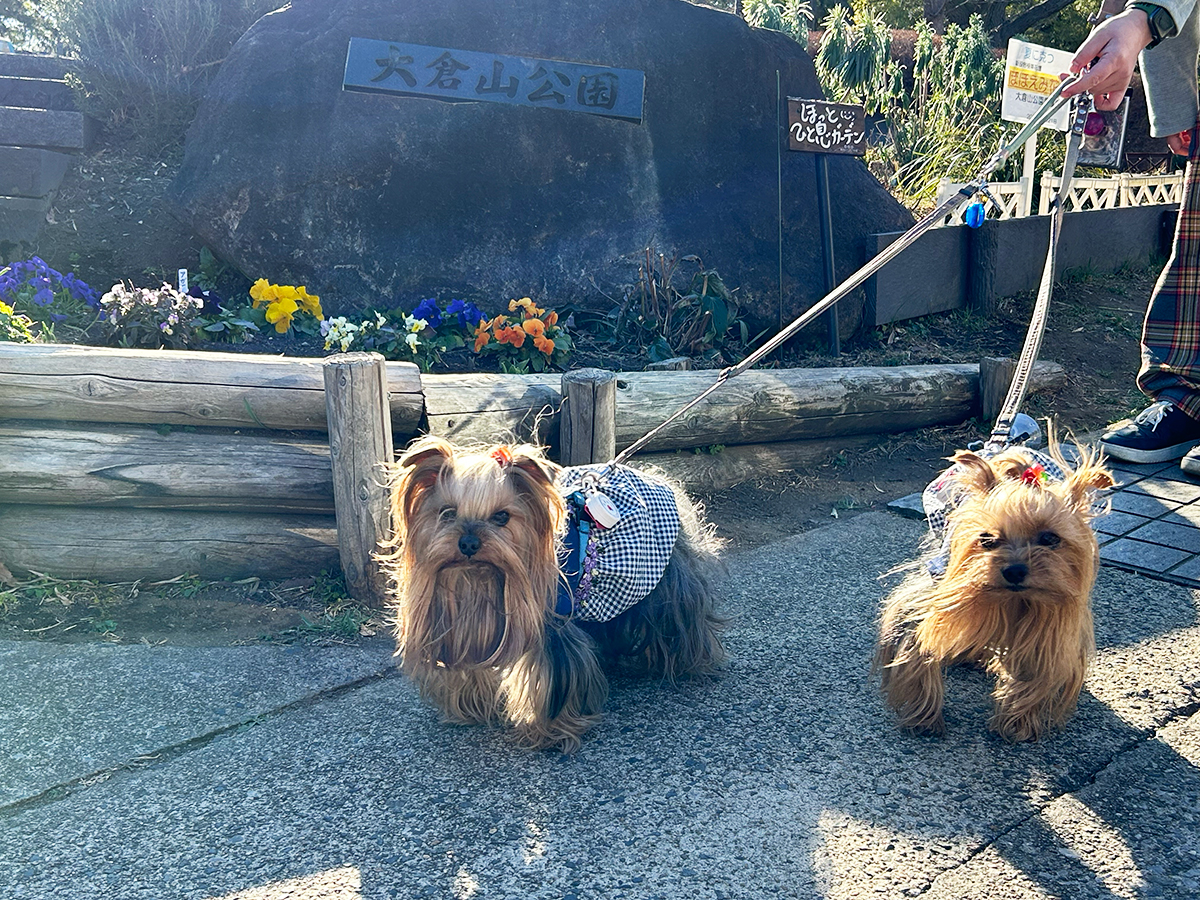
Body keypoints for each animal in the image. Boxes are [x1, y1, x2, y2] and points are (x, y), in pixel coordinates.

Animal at [379, 439, 724, 753]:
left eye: (502, 517)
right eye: (447, 513)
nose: (468, 543)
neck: (480, 578)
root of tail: (658, 479)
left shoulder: (552, 625)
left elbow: (553, 679)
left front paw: (549, 732)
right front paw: (470, 710)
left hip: (666, 579)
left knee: (681, 620)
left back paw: (691, 665)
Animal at [873, 441, 1113, 744]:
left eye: (1050, 538)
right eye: (987, 539)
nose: (1015, 571)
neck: (1012, 598)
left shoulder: (1053, 624)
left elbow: (1036, 672)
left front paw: (1017, 723)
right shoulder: (931, 594)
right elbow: (916, 648)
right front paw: (924, 718)